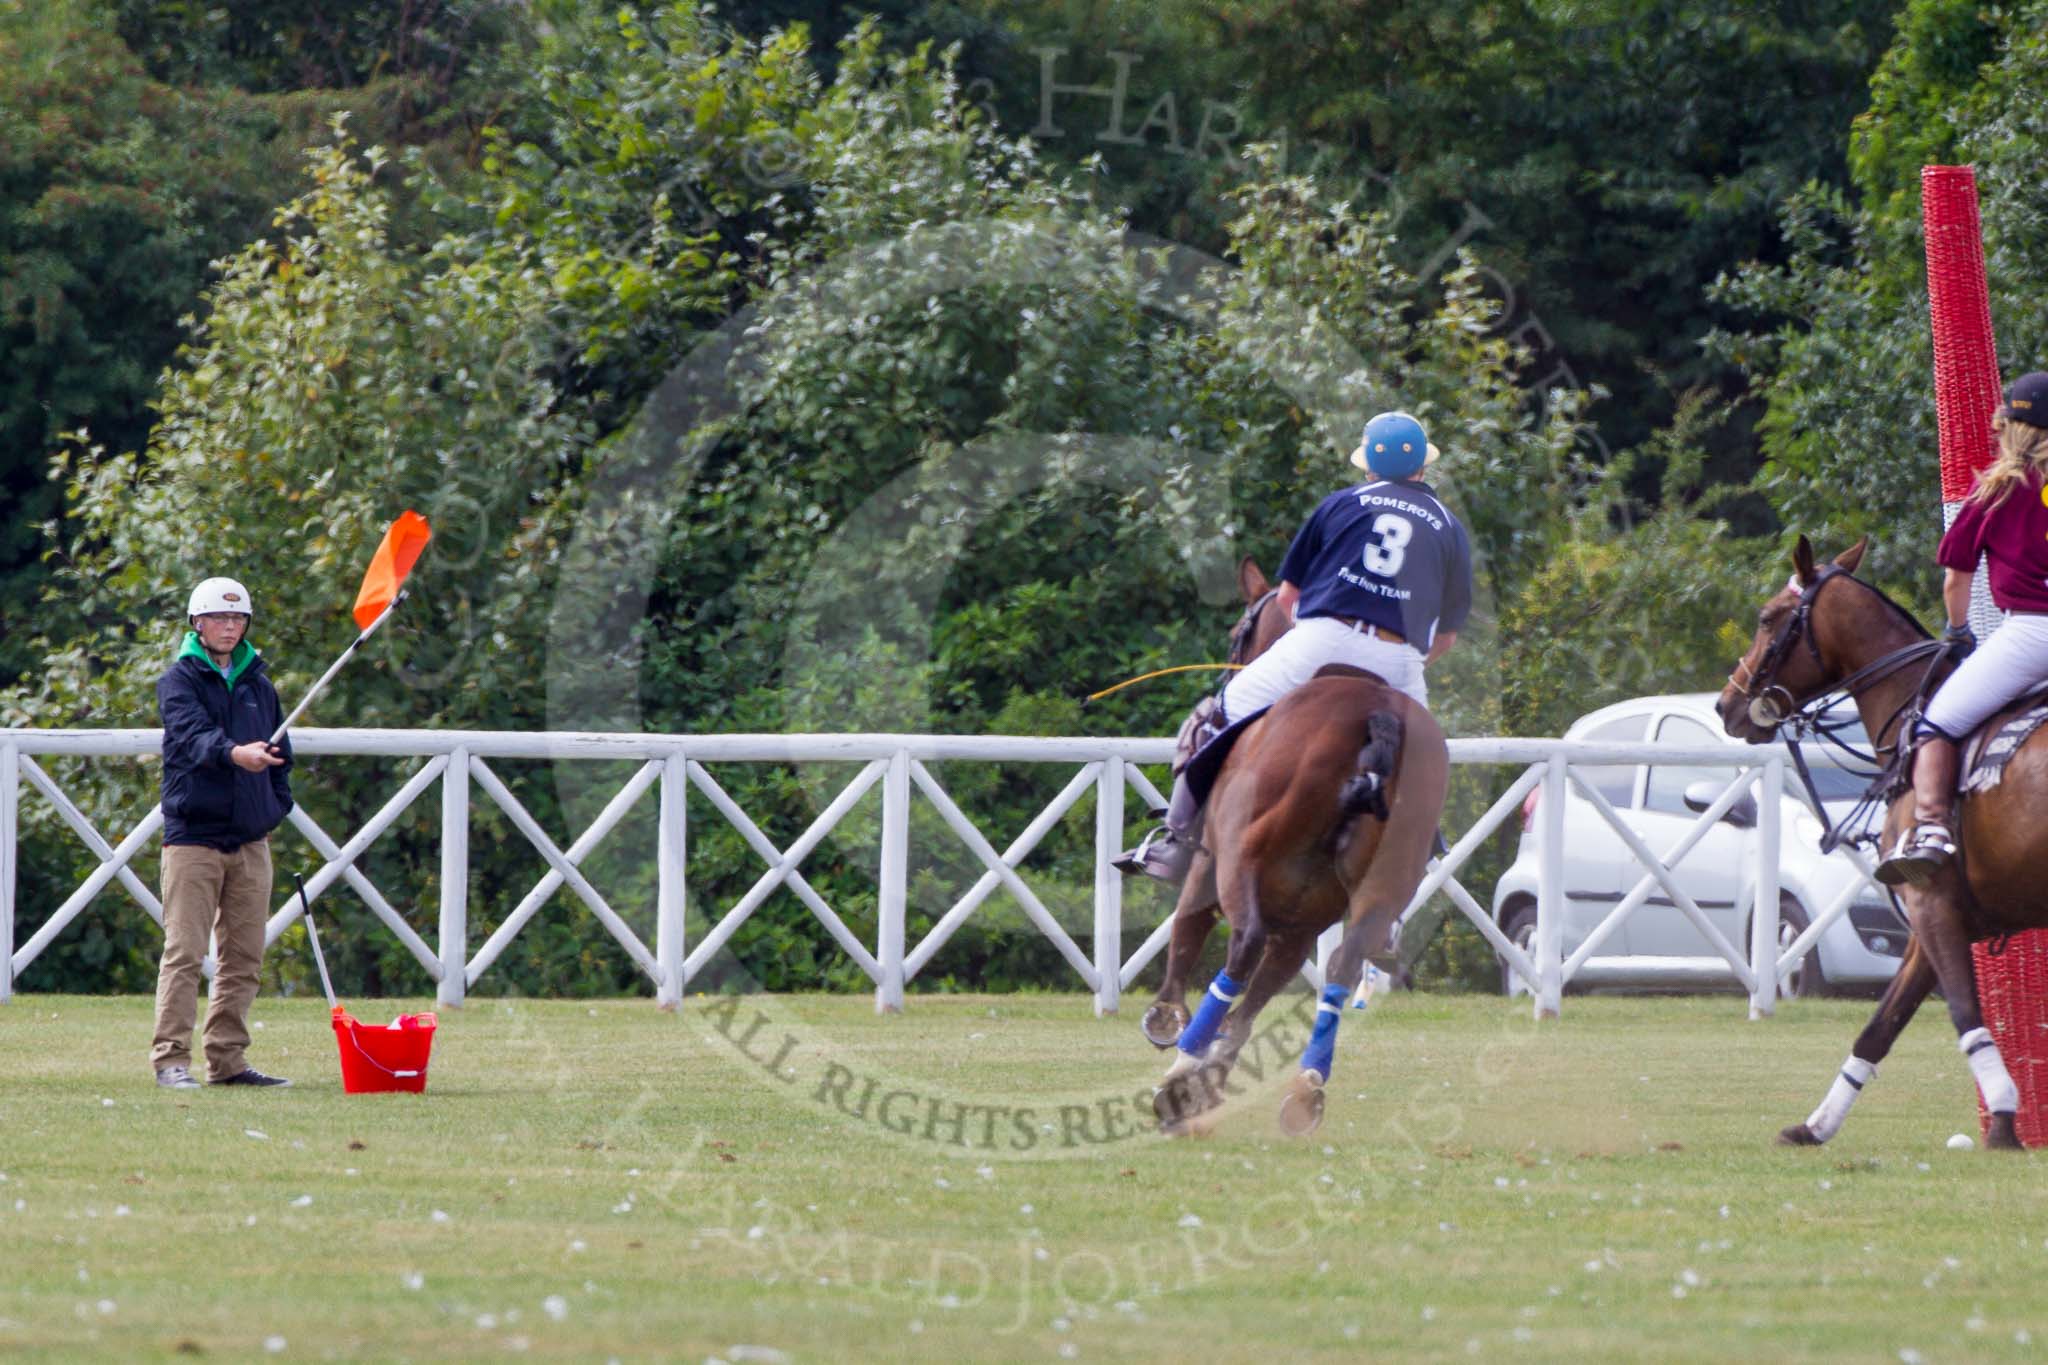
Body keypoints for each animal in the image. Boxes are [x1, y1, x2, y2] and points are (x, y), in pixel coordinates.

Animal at [1138, 560, 1441, 1137]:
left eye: (1238, 631)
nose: (1231, 668)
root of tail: (1377, 715)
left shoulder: (1208, 874)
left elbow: (1187, 939)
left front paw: (1169, 1029)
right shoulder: (1301, 925)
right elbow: (1253, 1005)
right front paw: (1212, 1079)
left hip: (1240, 863)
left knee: (1245, 943)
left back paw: (1179, 1073)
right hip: (1375, 886)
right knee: (1344, 966)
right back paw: (1305, 1089)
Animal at [1720, 540, 2039, 1146]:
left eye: (1767, 618)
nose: (1725, 705)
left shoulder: (1931, 902)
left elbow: (1965, 1013)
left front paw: (2004, 1122)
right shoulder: (1935, 921)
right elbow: (1879, 1027)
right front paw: (1814, 1126)